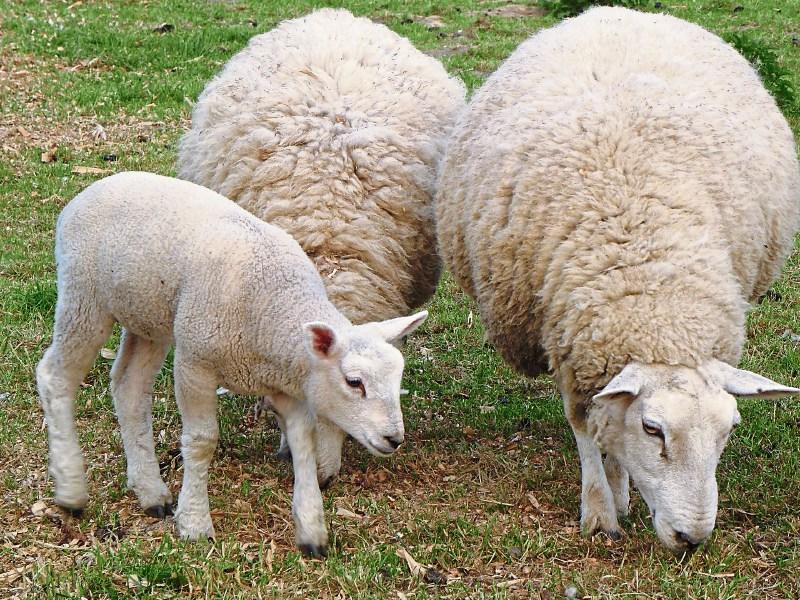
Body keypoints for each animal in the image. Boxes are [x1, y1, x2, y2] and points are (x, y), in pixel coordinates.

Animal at [37, 172, 427, 556]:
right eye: (354, 382)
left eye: (398, 379)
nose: (394, 438)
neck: (275, 312)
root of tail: (89, 191)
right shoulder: (194, 364)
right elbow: (201, 440)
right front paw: (195, 522)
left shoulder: (287, 387)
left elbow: (304, 444)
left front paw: (312, 529)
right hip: (85, 298)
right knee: (55, 376)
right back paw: (71, 489)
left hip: (147, 317)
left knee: (128, 388)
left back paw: (150, 491)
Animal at [435, 7, 800, 554]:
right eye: (653, 429)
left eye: (729, 429)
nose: (691, 537)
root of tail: (615, 12)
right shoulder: (571, 342)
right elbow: (586, 426)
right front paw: (600, 511)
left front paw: (620, 487)